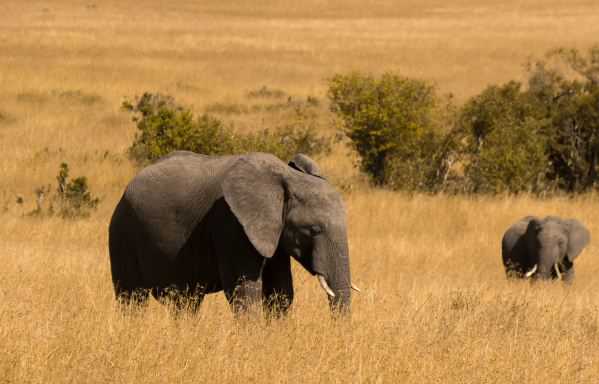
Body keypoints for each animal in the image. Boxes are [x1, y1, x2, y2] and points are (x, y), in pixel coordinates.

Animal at [108, 151, 356, 316]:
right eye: (313, 230)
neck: (285, 178)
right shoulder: (231, 225)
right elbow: (244, 291)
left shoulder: (273, 232)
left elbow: (281, 291)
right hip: (122, 232)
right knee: (132, 297)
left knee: (187, 302)